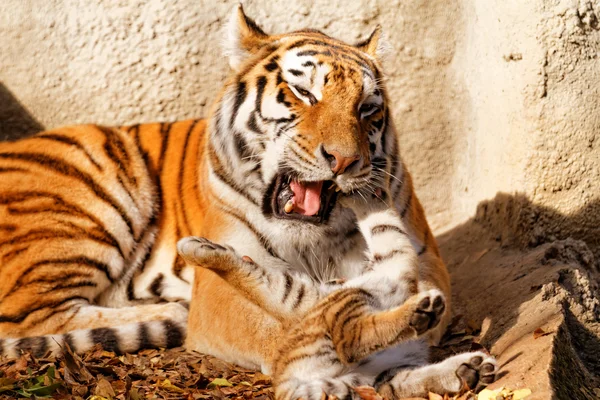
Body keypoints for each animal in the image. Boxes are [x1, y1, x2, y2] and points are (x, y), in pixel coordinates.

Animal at [0, 3, 452, 374]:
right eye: (304, 92)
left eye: (367, 108)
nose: (344, 160)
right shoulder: (220, 282)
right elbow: (281, 319)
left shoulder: (427, 261)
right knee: (29, 317)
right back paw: (170, 314)